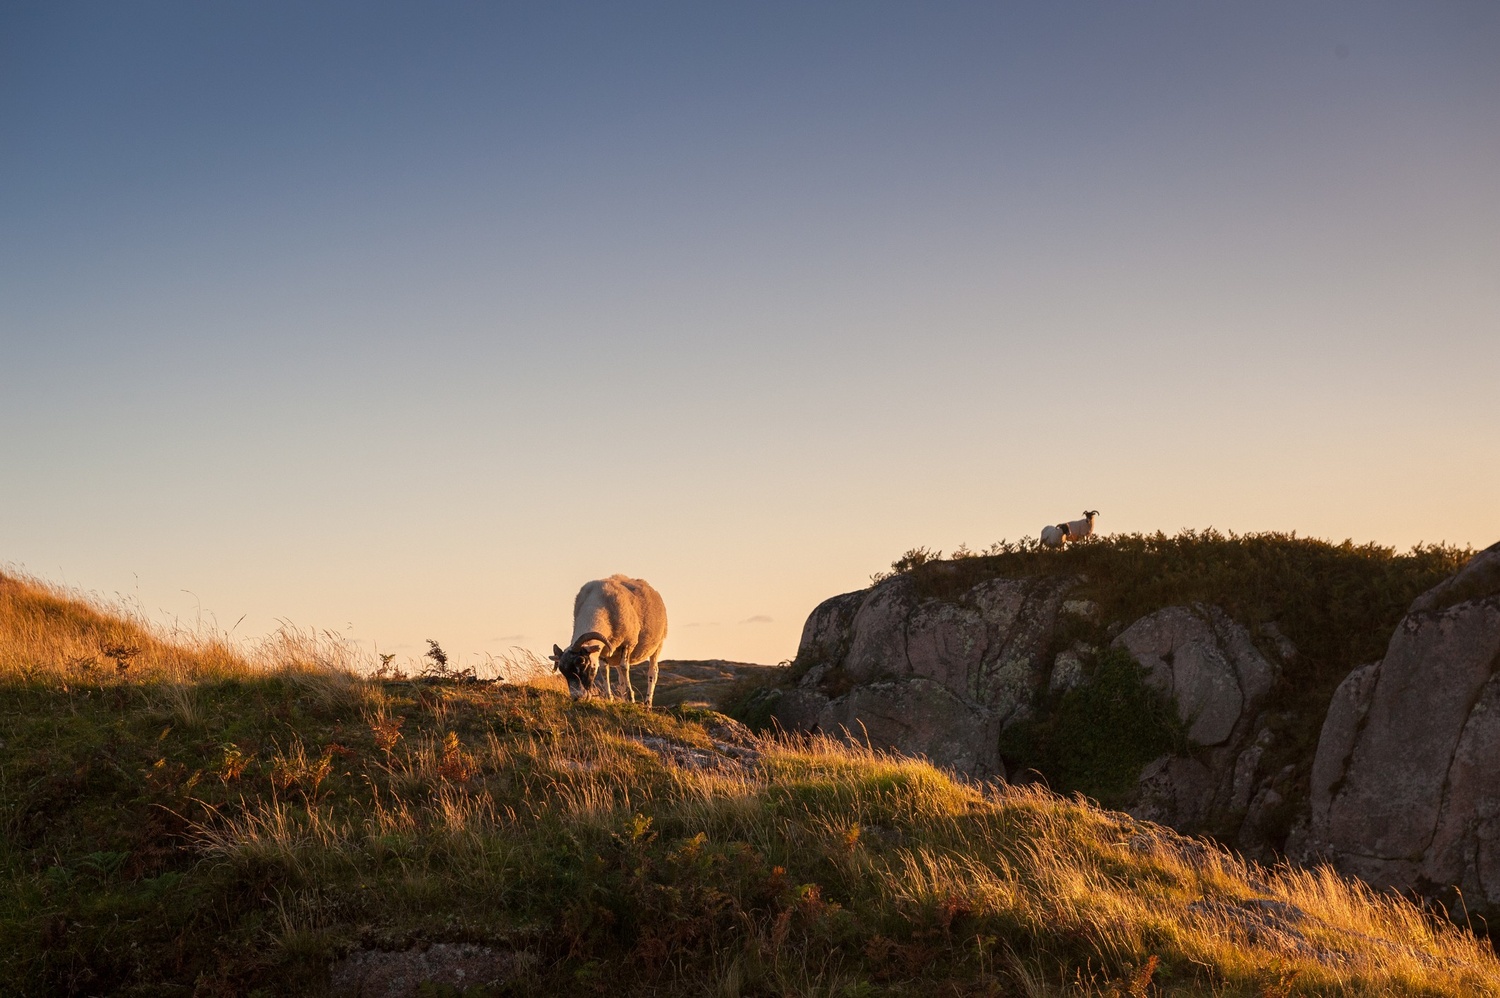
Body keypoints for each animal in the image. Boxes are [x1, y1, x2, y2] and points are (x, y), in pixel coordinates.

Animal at [549, 575, 669, 707]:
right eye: (562, 671)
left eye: (582, 662)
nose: (577, 698)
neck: (597, 602)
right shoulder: (603, 650)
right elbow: (604, 670)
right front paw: (610, 698)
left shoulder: (628, 643)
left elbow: (624, 667)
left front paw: (631, 698)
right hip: (616, 655)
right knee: (621, 678)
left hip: (658, 645)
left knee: (653, 672)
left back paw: (647, 704)